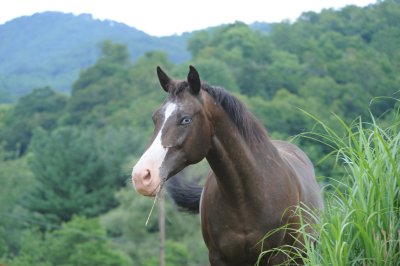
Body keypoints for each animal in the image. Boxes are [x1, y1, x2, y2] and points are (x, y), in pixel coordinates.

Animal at [133, 65, 324, 264]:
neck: (246, 198)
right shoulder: (218, 257)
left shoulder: (280, 257)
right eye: (155, 118)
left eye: (186, 119)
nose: (141, 175)